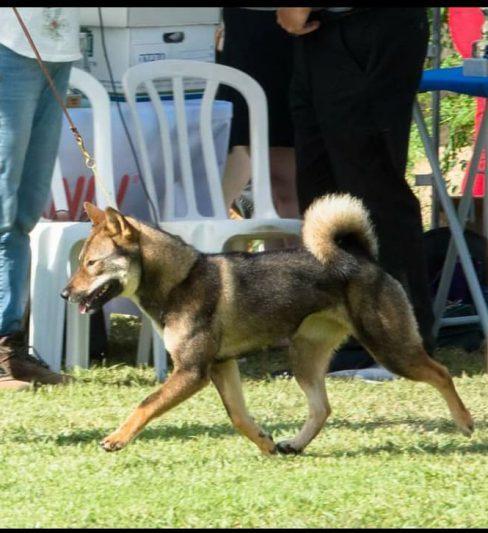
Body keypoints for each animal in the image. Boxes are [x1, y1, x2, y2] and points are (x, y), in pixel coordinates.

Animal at [60, 193, 472, 456]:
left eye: (92, 264)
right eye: (80, 262)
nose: (65, 293)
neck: (180, 281)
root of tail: (364, 259)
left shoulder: (192, 371)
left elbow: (145, 405)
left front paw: (116, 438)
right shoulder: (222, 366)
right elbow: (239, 418)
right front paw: (266, 444)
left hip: (390, 349)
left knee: (442, 372)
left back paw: (465, 421)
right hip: (305, 358)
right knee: (322, 409)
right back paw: (295, 445)